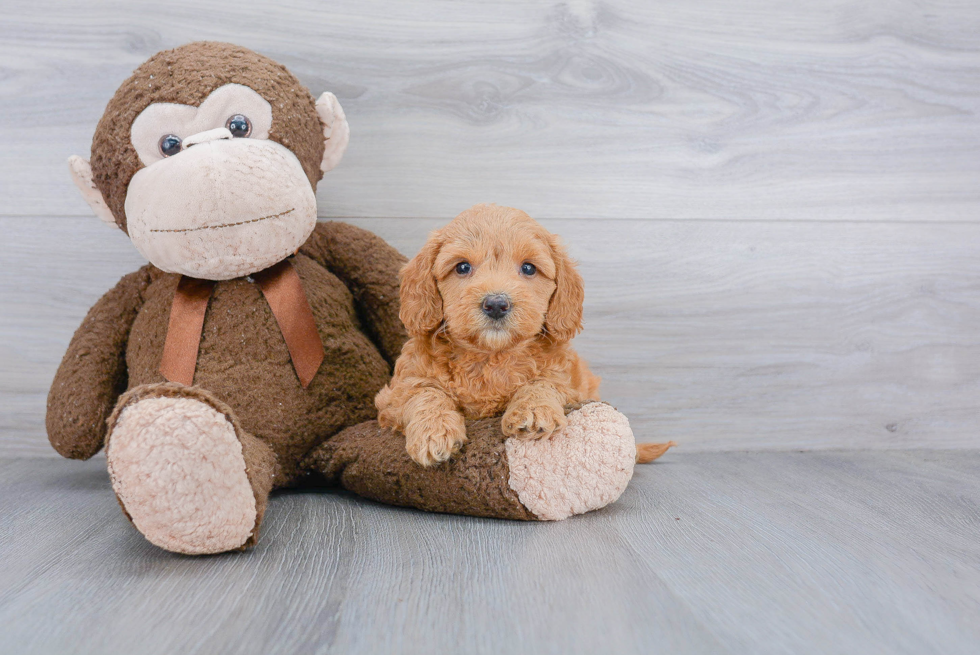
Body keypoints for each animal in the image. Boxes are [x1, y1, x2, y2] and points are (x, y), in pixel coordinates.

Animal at [374, 205, 596, 466]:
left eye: (528, 268)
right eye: (462, 267)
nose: (496, 304)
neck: (490, 355)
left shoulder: (572, 384)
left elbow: (544, 382)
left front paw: (533, 411)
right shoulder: (395, 394)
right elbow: (424, 392)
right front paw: (434, 432)